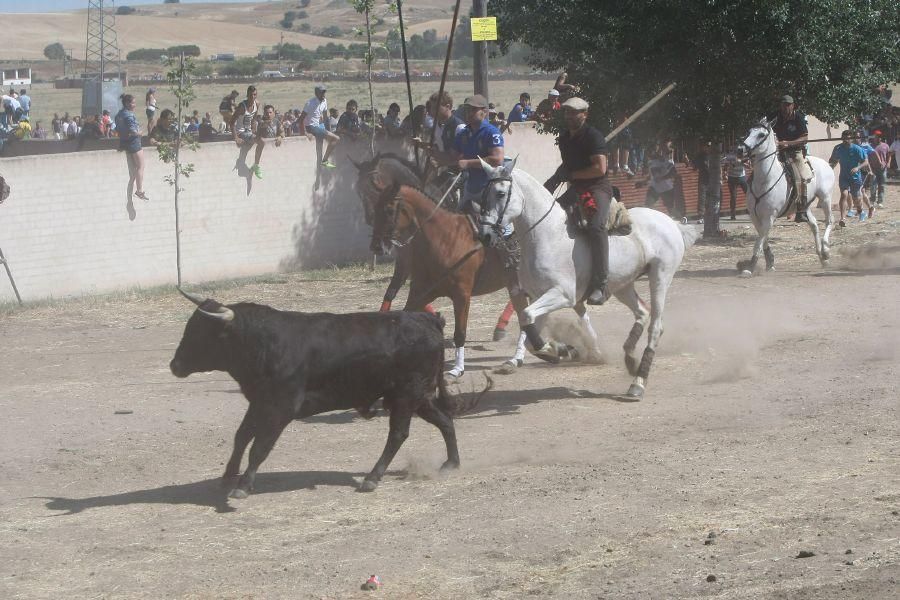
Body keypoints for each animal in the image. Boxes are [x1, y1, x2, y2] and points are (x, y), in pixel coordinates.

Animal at [169, 296, 492, 496]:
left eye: (202, 334)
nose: (175, 365)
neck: (260, 342)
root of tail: (429, 321)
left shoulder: (280, 408)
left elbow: (259, 446)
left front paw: (243, 485)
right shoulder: (259, 403)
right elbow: (241, 436)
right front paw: (227, 477)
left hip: (406, 396)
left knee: (399, 433)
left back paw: (371, 478)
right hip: (417, 396)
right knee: (445, 420)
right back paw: (451, 464)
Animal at [474, 158, 700, 398]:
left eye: (500, 193)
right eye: (483, 193)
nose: (484, 235)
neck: (547, 234)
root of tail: (670, 222)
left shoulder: (562, 295)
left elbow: (526, 316)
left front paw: (558, 350)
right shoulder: (538, 296)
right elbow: (529, 332)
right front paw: (558, 350)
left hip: (660, 277)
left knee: (656, 326)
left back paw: (638, 382)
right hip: (622, 285)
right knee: (642, 311)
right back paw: (630, 357)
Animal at [740, 118, 836, 276]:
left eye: (761, 135)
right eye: (748, 132)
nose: (740, 149)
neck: (765, 179)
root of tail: (826, 164)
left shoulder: (769, 217)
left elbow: (759, 242)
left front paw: (749, 268)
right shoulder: (755, 217)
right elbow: (763, 238)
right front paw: (770, 262)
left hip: (825, 198)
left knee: (829, 221)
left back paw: (826, 251)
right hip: (806, 206)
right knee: (814, 225)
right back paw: (822, 257)